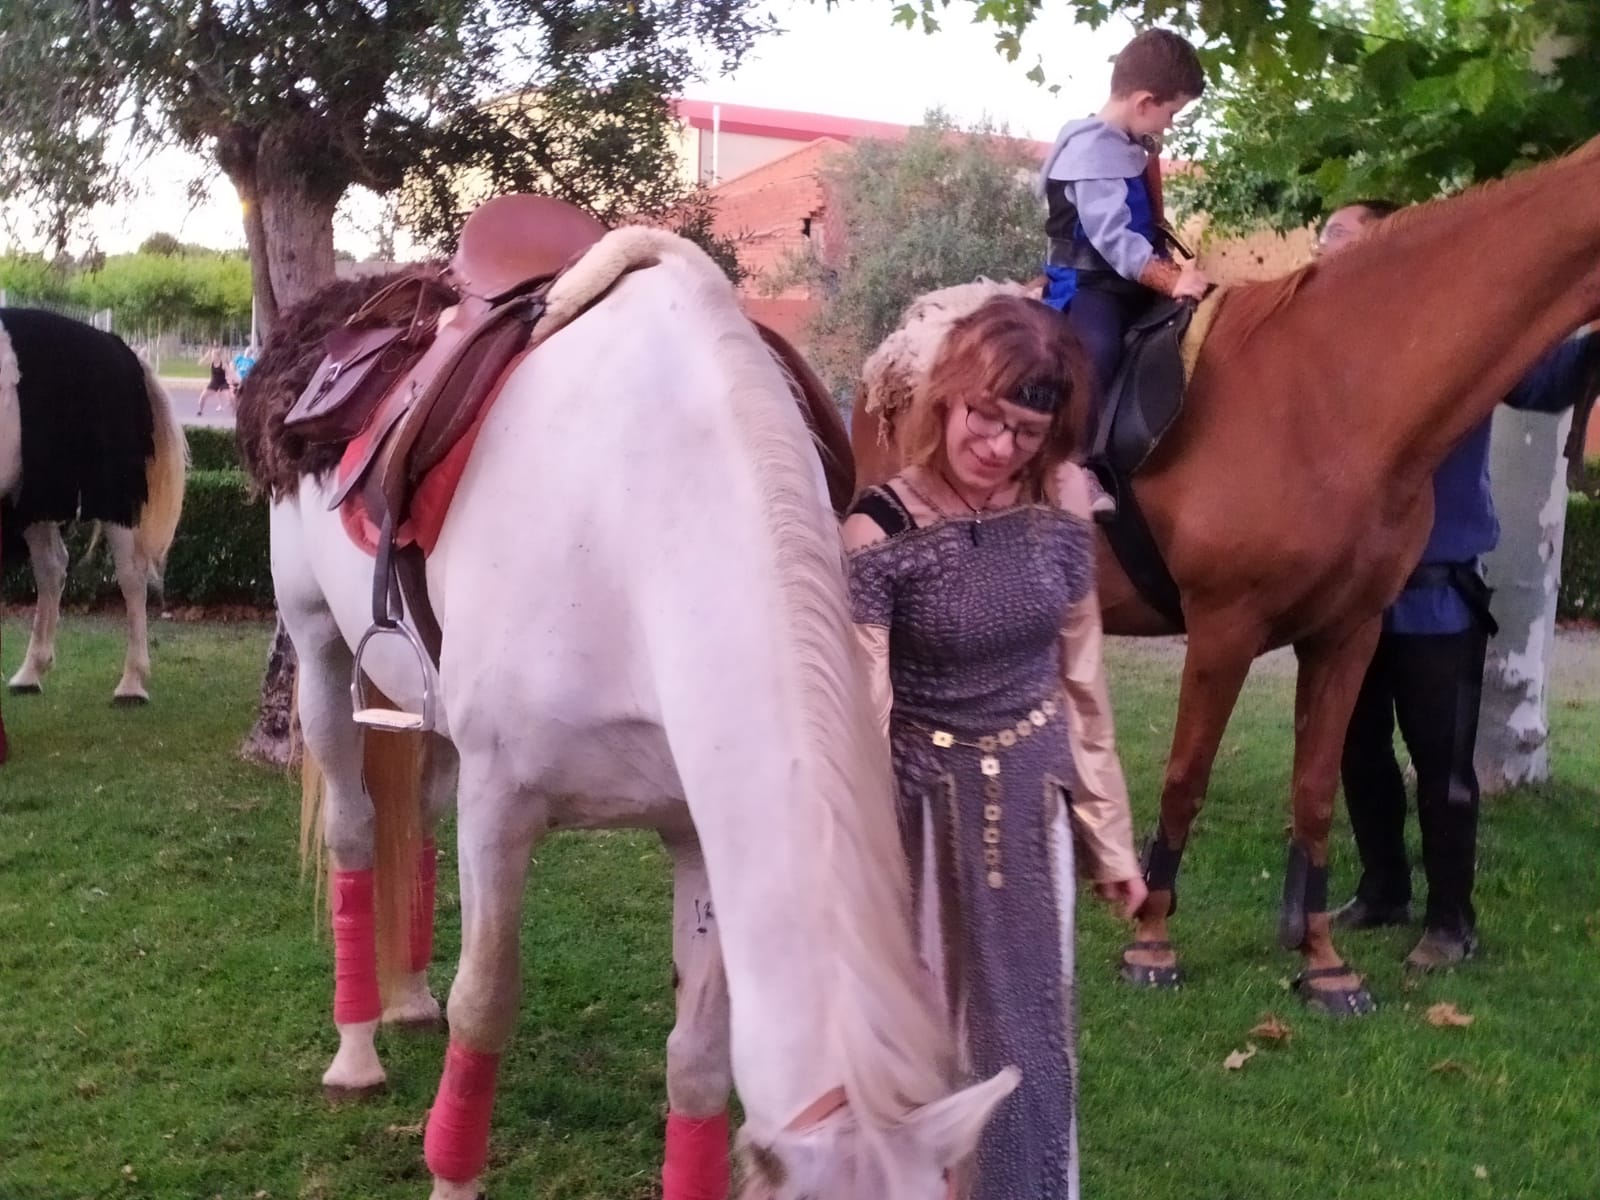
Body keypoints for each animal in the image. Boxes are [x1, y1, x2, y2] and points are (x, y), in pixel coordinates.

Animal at [2, 305, 187, 710]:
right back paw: (31, 671)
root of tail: (118, 347)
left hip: (114, 492)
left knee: (132, 576)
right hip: (36, 492)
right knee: (51, 567)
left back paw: (132, 682)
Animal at [265, 232, 1011, 1200]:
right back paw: (356, 1051)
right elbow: (485, 1007)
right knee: (356, 832)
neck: (644, 516)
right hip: (317, 644)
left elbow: (697, 1059)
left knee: (414, 821)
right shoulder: (500, 806)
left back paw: (408, 998)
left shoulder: (700, 828)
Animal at [857, 133, 1600, 1017]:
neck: (1336, 391)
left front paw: (1322, 961)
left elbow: (1317, 793)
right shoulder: (1224, 626)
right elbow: (1186, 778)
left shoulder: (1349, 635)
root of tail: (896, 353)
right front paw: (1151, 941)